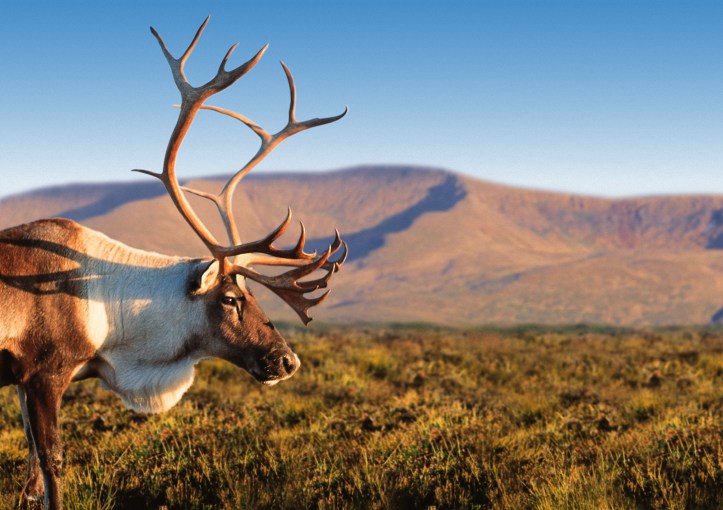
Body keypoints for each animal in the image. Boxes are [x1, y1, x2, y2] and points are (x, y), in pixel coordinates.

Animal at [0, 18, 347, 509]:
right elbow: (52, 462)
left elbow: (30, 468)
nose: (288, 361)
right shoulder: (43, 373)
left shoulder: (20, 383)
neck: (107, 312)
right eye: (230, 298)